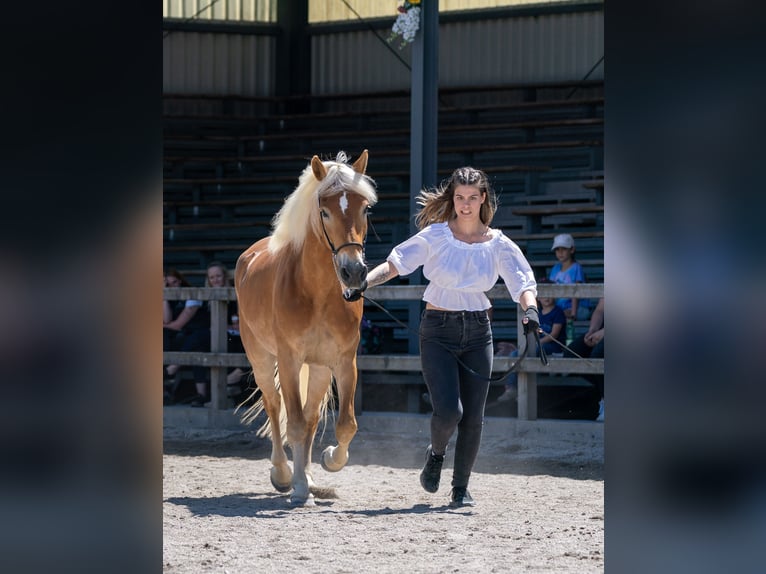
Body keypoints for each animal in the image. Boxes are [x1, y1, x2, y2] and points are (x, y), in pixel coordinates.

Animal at [234, 151, 378, 506]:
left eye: (365, 209)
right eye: (325, 211)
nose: (354, 272)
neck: (317, 293)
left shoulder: (344, 362)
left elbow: (344, 425)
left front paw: (329, 461)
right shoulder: (288, 361)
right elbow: (294, 424)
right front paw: (297, 487)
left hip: (319, 369)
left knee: (311, 417)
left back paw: (310, 477)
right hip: (261, 360)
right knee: (274, 407)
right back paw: (285, 475)